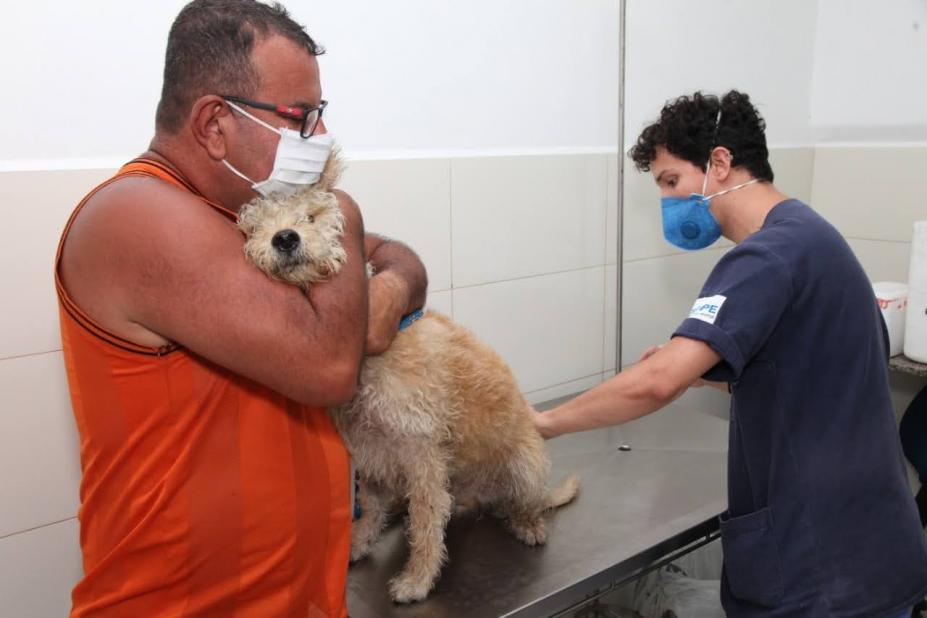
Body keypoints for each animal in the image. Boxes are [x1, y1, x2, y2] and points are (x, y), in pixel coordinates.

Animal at [236, 153, 576, 600]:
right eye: (257, 225)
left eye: (312, 215)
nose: (285, 239)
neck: (367, 361)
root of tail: (483, 496)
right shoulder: (370, 452)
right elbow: (373, 507)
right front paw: (359, 542)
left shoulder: (422, 453)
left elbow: (427, 520)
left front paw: (418, 578)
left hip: (526, 468)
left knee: (522, 503)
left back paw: (528, 523)